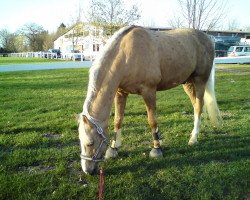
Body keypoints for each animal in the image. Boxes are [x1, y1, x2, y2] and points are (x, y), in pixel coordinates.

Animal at [78, 25, 221, 174]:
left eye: (90, 143)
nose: (87, 170)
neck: (127, 54)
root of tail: (207, 39)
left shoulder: (149, 92)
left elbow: (152, 121)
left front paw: (156, 149)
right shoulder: (121, 93)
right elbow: (118, 120)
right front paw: (113, 148)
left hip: (199, 80)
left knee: (198, 106)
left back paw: (193, 138)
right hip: (187, 82)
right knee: (195, 106)